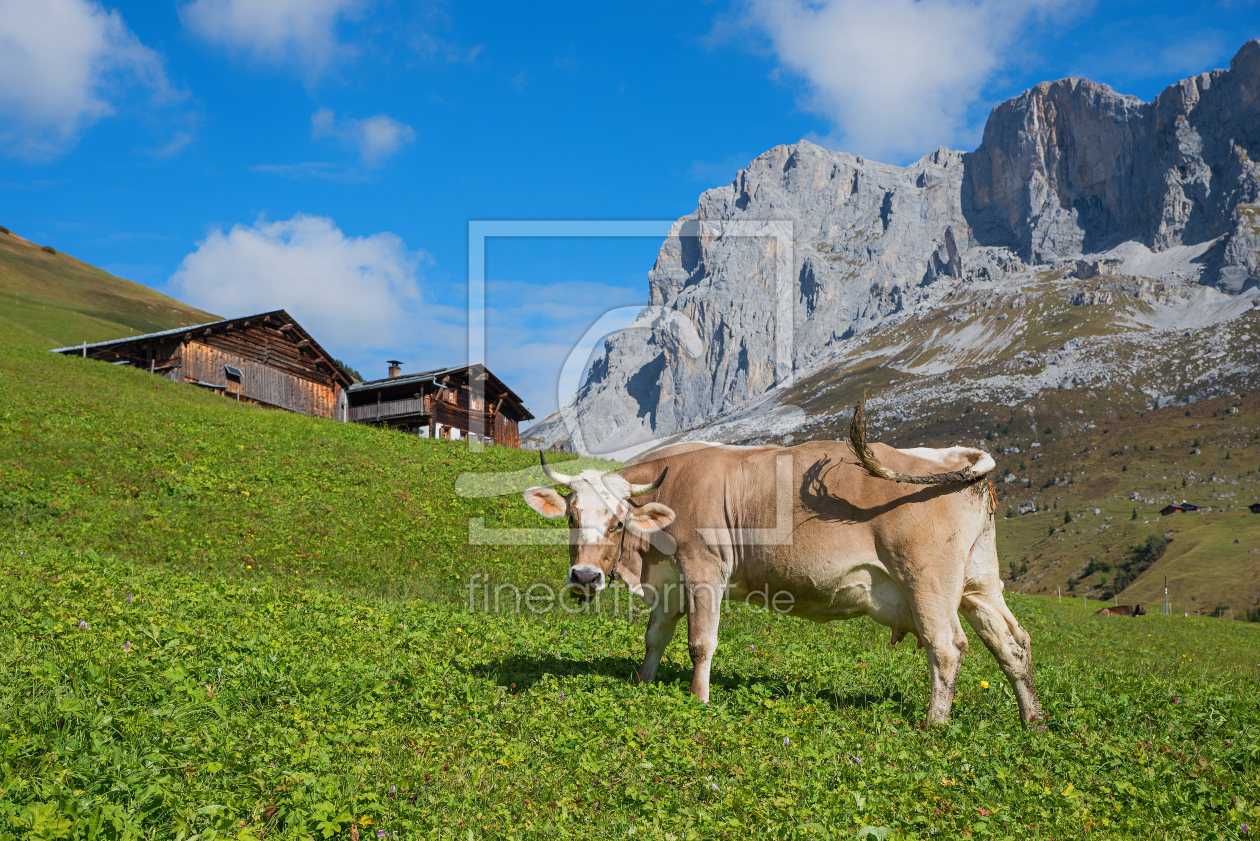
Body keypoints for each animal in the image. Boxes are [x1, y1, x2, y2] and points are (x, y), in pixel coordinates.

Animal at [521, 398, 1043, 726]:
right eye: (571, 516)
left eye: (617, 522)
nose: (584, 576)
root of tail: (945, 456)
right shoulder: (671, 581)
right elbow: (655, 637)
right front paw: (641, 684)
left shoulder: (705, 571)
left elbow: (700, 643)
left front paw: (698, 700)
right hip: (978, 581)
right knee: (1012, 643)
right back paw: (1032, 721)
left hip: (926, 581)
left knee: (947, 647)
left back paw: (933, 725)